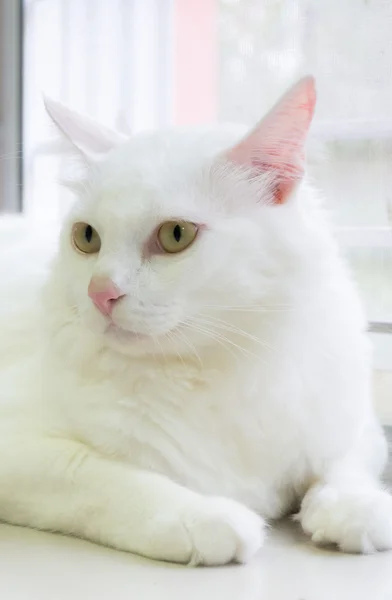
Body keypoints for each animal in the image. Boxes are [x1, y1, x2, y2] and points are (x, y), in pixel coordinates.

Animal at [0, 77, 388, 564]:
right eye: (87, 238)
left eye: (175, 235)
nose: (100, 293)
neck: (220, 369)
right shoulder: (21, 450)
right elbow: (102, 475)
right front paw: (203, 517)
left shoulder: (357, 425)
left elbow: (342, 465)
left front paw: (357, 507)